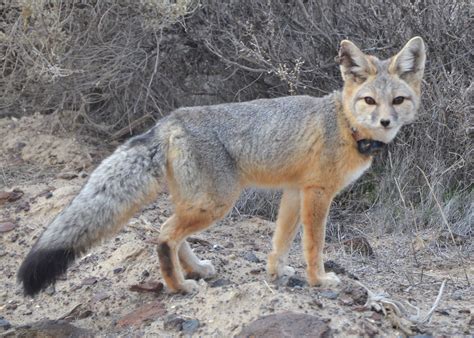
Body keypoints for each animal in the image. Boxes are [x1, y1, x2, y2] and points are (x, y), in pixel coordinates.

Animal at [17, 37, 426, 296]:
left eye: (398, 100)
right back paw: (179, 286)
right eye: (369, 101)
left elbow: (280, 241)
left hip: (198, 202)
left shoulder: (295, 190)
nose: (386, 121)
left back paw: (196, 270)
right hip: (216, 203)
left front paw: (276, 272)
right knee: (164, 234)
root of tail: (169, 120)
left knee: (173, 232)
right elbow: (313, 245)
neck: (344, 125)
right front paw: (318, 280)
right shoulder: (318, 193)